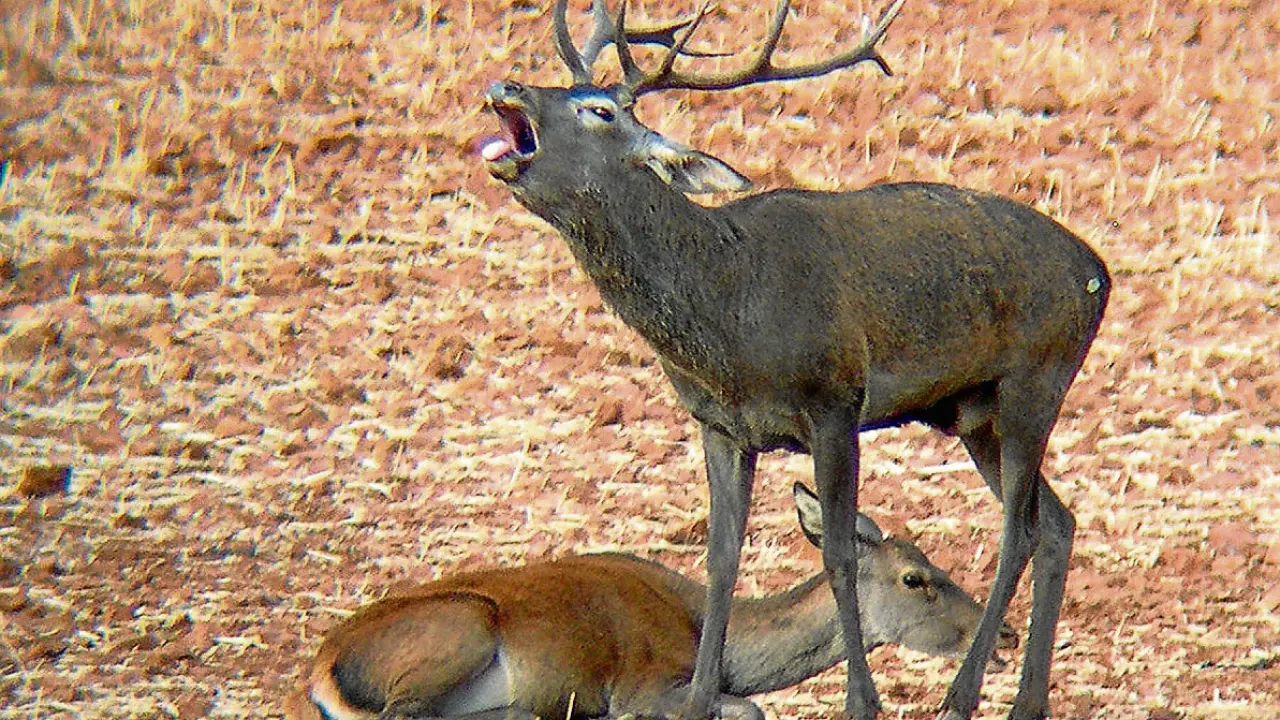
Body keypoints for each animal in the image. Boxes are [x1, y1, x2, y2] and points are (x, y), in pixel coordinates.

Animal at [287, 483, 1015, 720]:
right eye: (916, 578)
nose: (1004, 635)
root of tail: (321, 671)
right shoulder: (644, 682)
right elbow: (748, 710)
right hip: (462, 624)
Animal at [478, 1, 1111, 718]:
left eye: (600, 110)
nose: (507, 86)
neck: (729, 326)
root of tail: (1100, 272)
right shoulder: (720, 425)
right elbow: (721, 558)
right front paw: (702, 696)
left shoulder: (833, 401)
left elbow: (839, 554)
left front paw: (862, 701)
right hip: (974, 414)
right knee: (1057, 522)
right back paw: (1027, 700)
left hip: (1038, 377)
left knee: (1019, 530)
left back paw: (964, 692)